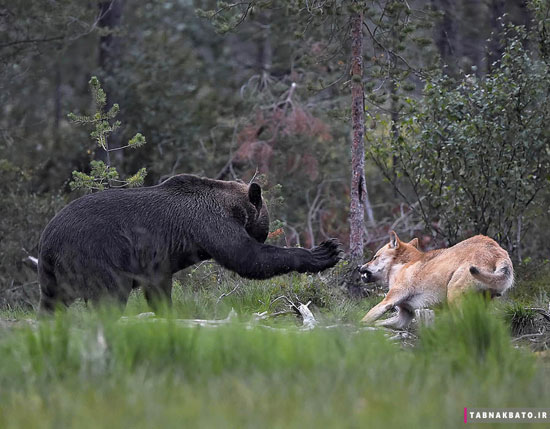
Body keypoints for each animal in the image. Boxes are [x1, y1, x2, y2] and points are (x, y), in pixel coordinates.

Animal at [37, 173, 340, 310]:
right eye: (266, 218)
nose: (264, 232)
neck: (232, 207)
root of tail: (48, 239)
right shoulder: (208, 222)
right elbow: (246, 257)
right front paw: (324, 252)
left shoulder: (156, 261)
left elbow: (158, 287)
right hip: (96, 254)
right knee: (110, 295)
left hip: (54, 274)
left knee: (52, 303)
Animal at [360, 231, 516, 328]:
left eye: (374, 257)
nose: (359, 267)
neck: (402, 266)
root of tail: (498, 251)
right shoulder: (404, 316)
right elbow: (377, 323)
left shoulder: (388, 302)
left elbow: (364, 319)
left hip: (454, 297)